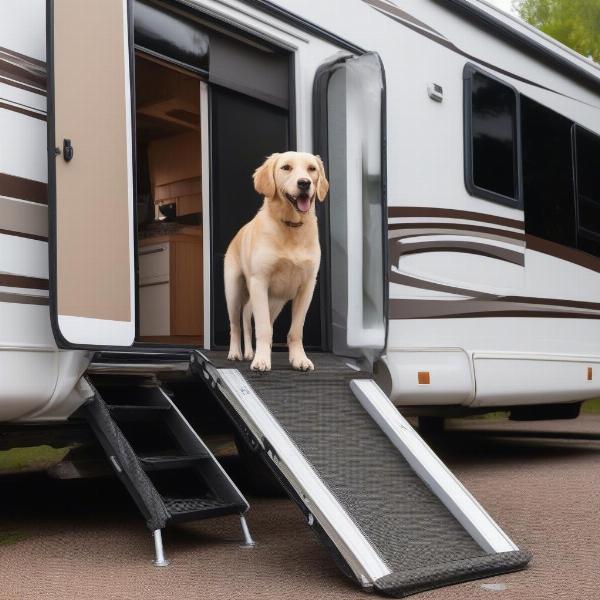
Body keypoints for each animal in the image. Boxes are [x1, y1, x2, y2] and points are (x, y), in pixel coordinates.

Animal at [224, 151, 328, 370]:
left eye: (312, 169)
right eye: (286, 167)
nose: (304, 183)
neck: (291, 226)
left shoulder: (307, 287)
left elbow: (295, 330)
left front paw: (299, 359)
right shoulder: (259, 281)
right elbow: (262, 328)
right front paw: (262, 360)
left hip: (275, 302)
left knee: (251, 319)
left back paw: (250, 352)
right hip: (234, 290)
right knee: (236, 324)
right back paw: (236, 352)